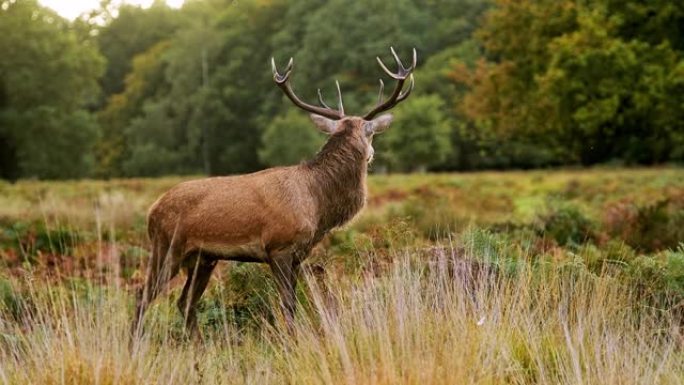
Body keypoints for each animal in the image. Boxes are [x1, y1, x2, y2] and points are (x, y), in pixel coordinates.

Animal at [130, 48, 414, 340]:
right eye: (370, 135)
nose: (371, 155)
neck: (317, 206)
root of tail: (152, 211)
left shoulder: (299, 255)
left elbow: (294, 301)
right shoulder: (278, 247)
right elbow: (288, 303)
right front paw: (293, 340)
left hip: (202, 258)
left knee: (185, 302)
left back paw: (197, 345)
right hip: (167, 246)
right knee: (143, 296)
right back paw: (136, 344)